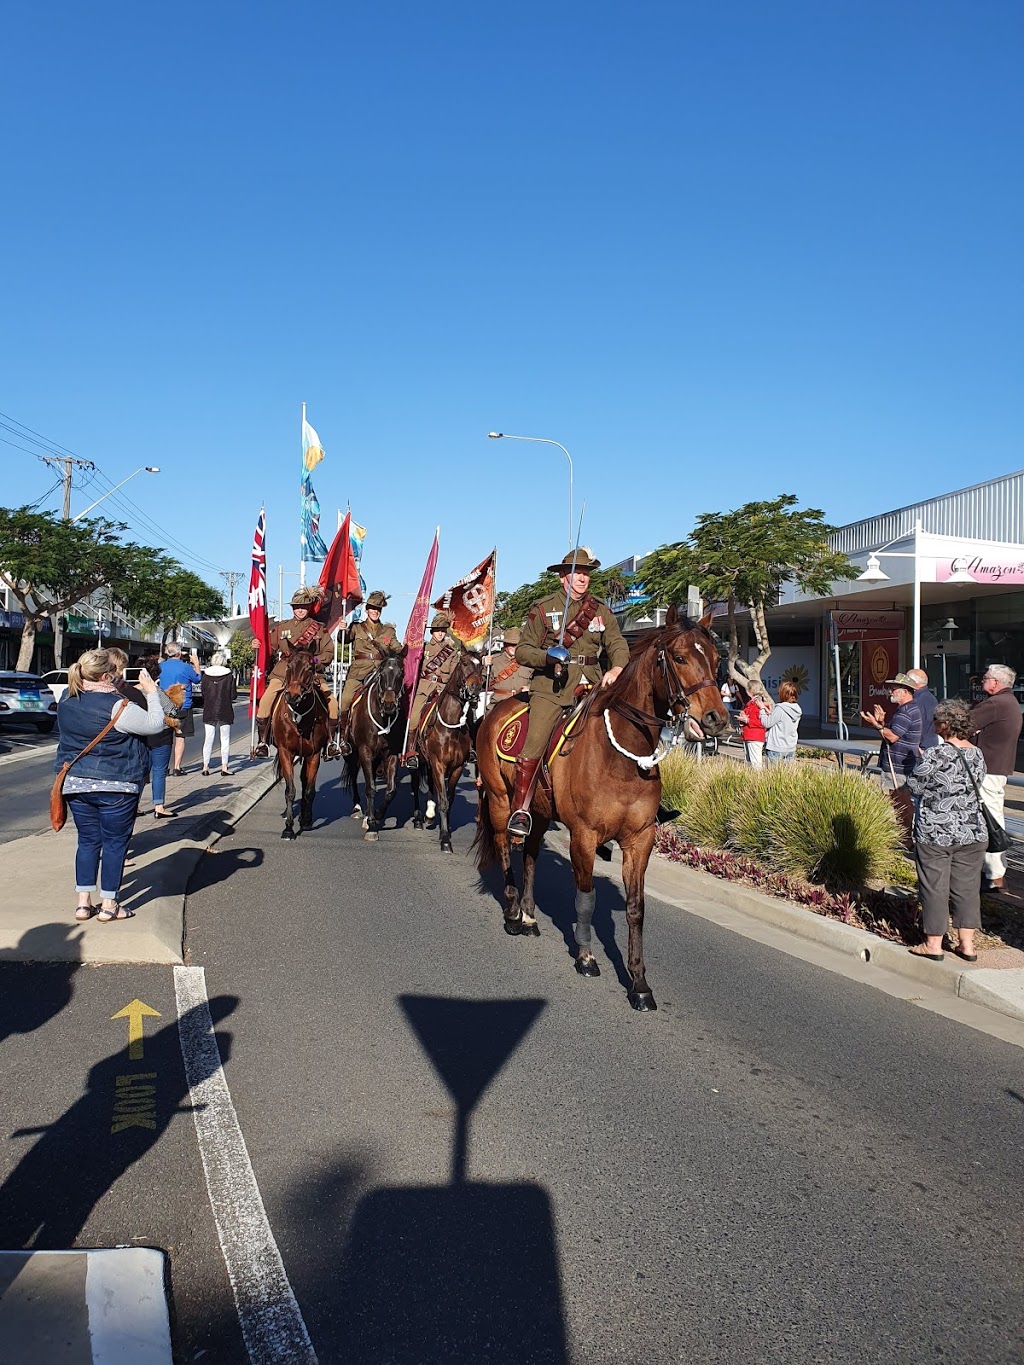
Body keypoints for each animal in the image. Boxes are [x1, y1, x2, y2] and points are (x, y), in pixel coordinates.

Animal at [273, 647, 329, 835]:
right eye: (288, 666)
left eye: (310, 668)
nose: (292, 696)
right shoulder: (285, 752)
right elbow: (290, 789)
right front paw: (289, 828)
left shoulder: (314, 754)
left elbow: (309, 790)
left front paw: (305, 820)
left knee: (305, 783)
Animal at [345, 649, 409, 840]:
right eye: (381, 674)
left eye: (401, 674)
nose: (389, 704)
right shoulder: (364, 751)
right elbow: (370, 788)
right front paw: (372, 825)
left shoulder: (392, 754)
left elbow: (391, 790)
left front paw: (377, 816)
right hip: (353, 754)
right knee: (354, 775)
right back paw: (358, 809)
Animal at [412, 649, 486, 851]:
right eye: (464, 663)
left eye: (481, 666)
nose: (475, 689)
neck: (451, 728)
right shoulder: (438, 764)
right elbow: (443, 800)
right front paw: (445, 839)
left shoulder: (456, 767)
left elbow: (449, 799)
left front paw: (443, 830)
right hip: (419, 761)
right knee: (416, 784)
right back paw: (418, 819)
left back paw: (429, 815)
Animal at [475, 614, 731, 1010]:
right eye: (679, 658)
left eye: (718, 661)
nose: (717, 718)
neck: (622, 756)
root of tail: (495, 711)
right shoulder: (584, 836)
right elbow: (586, 898)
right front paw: (585, 957)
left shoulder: (640, 839)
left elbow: (636, 908)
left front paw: (639, 982)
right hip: (501, 801)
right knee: (505, 845)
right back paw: (514, 914)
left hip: (538, 811)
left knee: (530, 853)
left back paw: (530, 917)